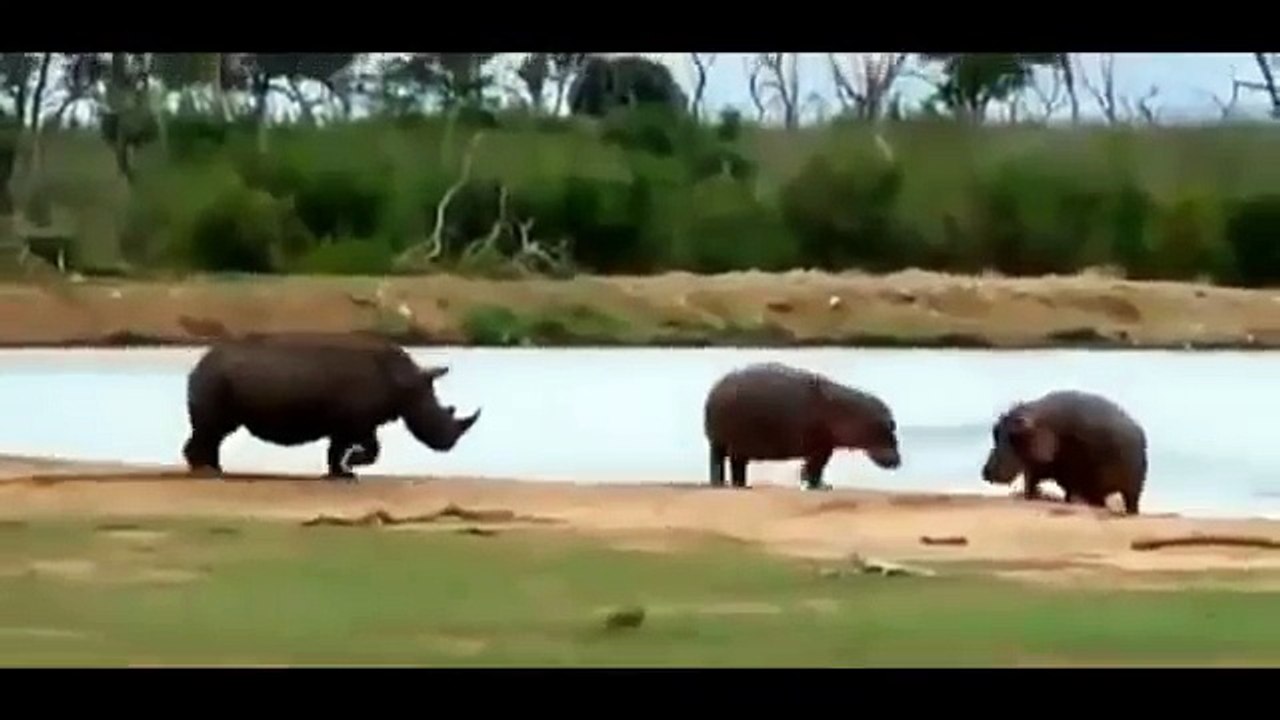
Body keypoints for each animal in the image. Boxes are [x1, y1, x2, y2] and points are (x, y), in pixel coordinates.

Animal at [181, 331, 481, 481]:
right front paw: (351, 466)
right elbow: (372, 450)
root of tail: (197, 364)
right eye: (436, 415)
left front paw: (340, 474)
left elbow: (336, 450)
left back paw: (214, 470)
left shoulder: (347, 423)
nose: (449, 444)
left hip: (218, 378)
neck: (405, 383)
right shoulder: (356, 422)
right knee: (212, 428)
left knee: (217, 431)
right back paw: (206, 472)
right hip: (214, 378)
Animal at [702, 362, 902, 490]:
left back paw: (734, 485)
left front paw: (819, 484)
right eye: (887, 429)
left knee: (729, 464)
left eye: (893, 427)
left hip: (727, 444)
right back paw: (734, 486)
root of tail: (714, 391)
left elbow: (816, 467)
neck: (851, 413)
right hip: (732, 442)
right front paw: (819, 486)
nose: (898, 461)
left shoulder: (825, 446)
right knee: (727, 464)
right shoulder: (821, 446)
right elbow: (815, 467)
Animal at [982, 389, 1147, 515]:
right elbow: (1031, 481)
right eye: (995, 431)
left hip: (1130, 485)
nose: (986, 471)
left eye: (1014, 436)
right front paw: (1031, 496)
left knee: (1129, 502)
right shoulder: (1038, 466)